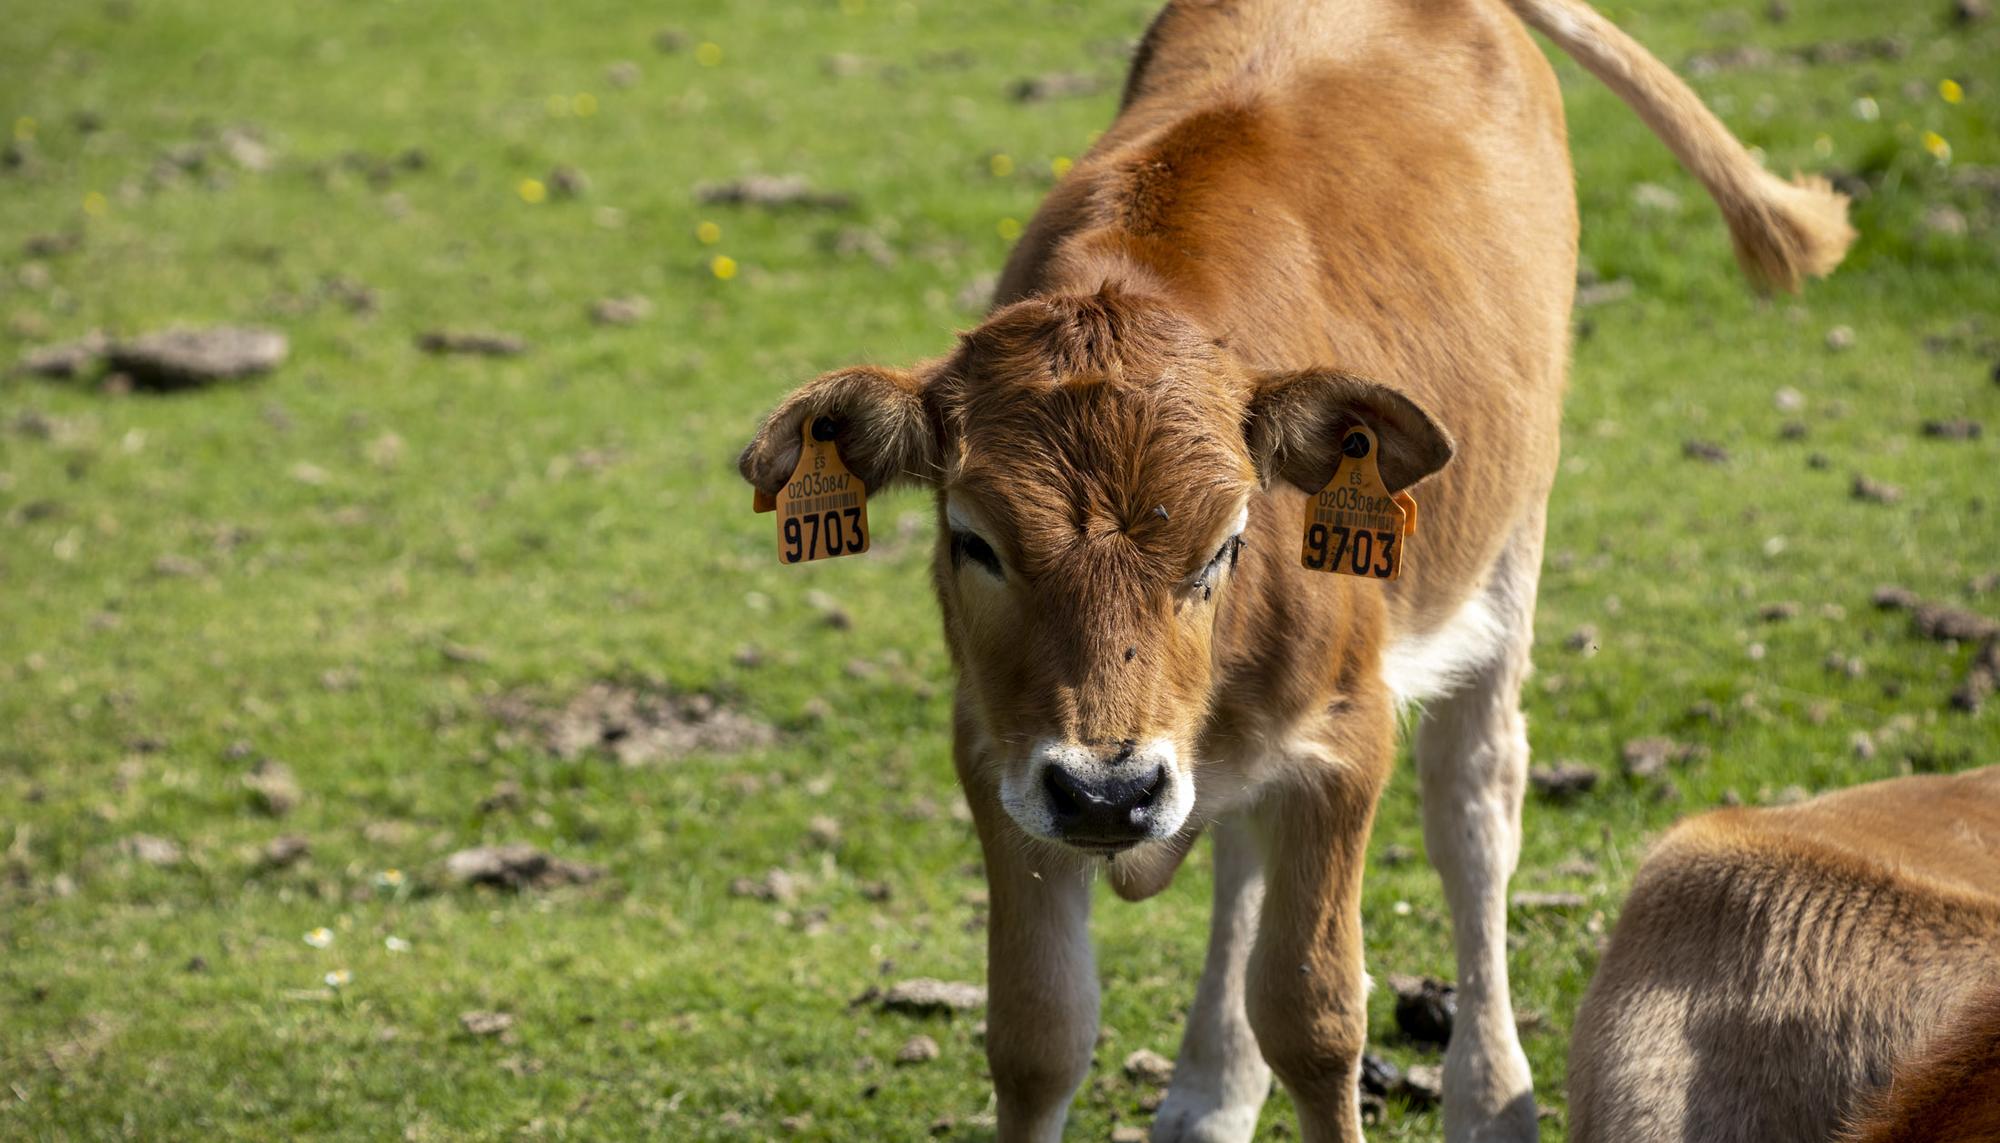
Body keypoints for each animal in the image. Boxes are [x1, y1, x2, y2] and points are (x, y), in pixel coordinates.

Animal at [744, 0, 1848, 1135]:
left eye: (1227, 541)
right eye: (972, 539)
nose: (1108, 793)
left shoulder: (1344, 741)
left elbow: (1316, 1017)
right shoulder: (998, 757)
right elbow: (1037, 1033)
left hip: (1510, 553)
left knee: (1475, 811)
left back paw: (1488, 1092)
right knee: (1241, 851)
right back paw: (1209, 1090)